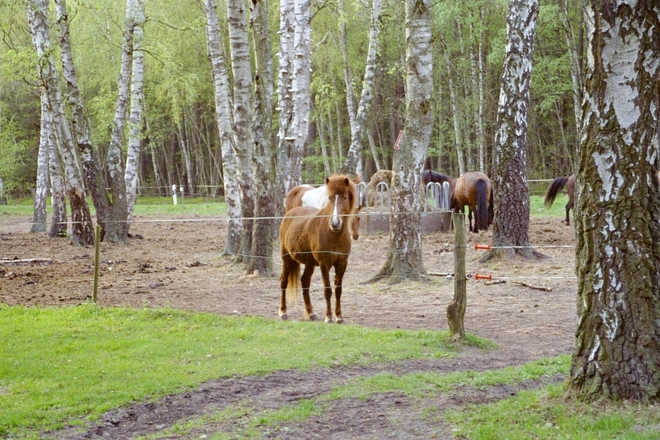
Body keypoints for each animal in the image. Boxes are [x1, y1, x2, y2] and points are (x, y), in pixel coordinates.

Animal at [278, 175, 356, 324]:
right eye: (330, 198)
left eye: (344, 197)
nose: (335, 223)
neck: (333, 234)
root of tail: (290, 213)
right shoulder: (324, 264)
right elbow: (328, 290)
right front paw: (329, 317)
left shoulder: (342, 264)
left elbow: (338, 291)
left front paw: (339, 317)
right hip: (286, 258)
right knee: (283, 281)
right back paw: (283, 313)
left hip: (309, 263)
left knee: (305, 282)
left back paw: (311, 313)